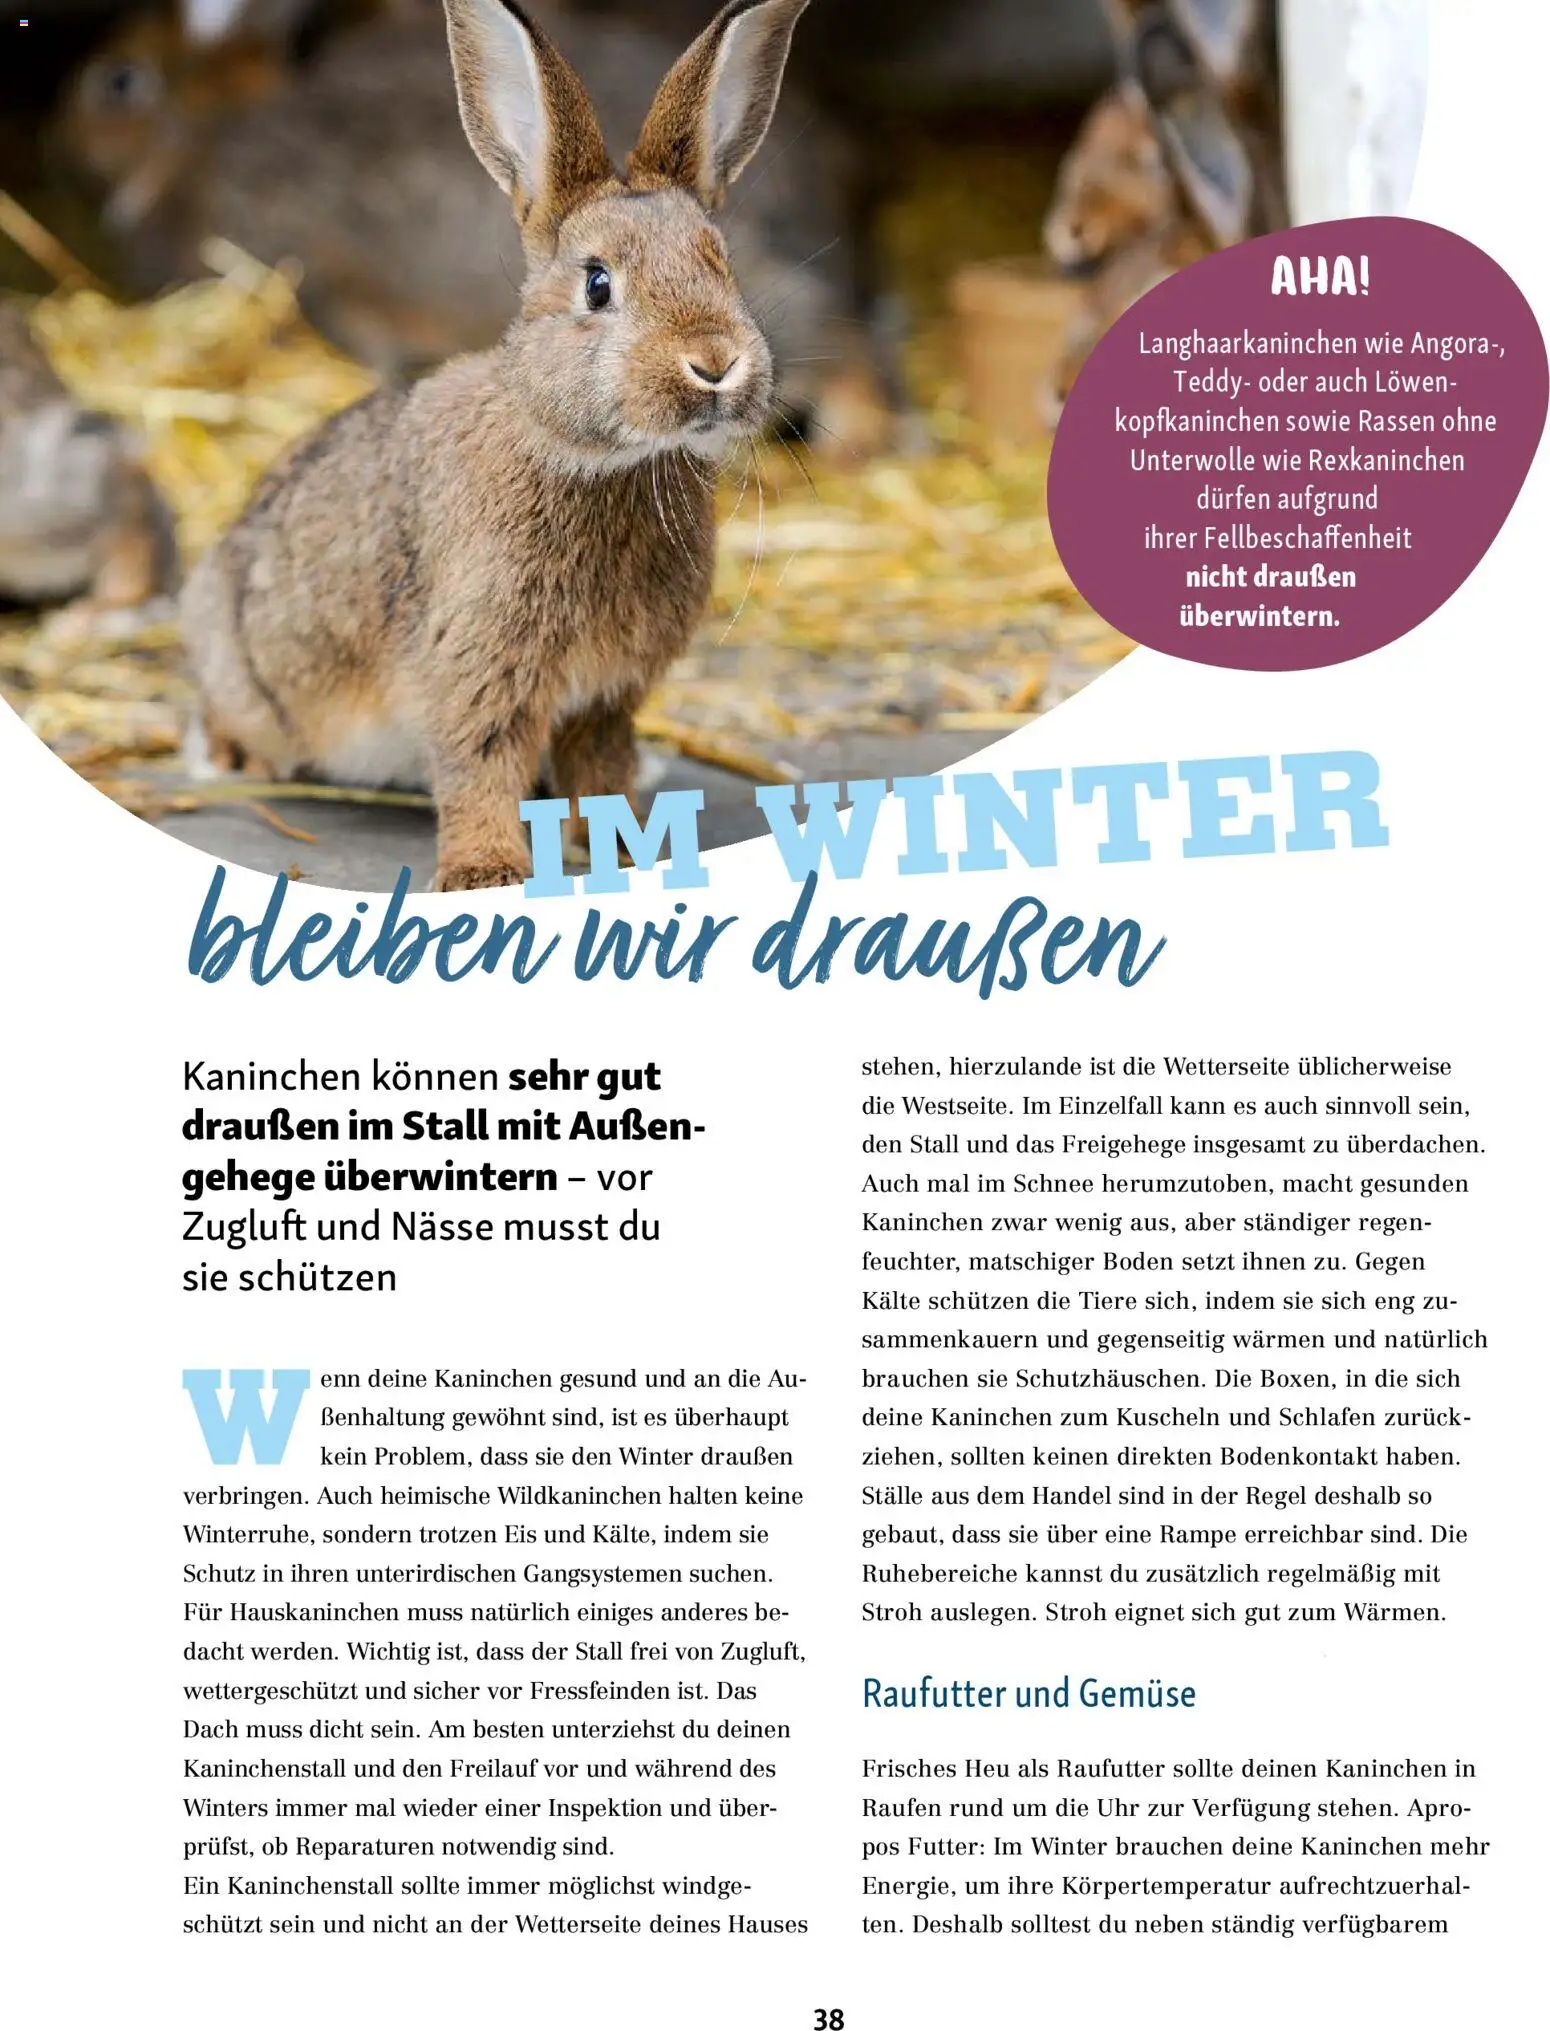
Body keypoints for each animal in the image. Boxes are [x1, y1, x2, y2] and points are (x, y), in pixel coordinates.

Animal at [183, 0, 808, 893]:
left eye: (721, 263)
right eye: (597, 283)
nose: (717, 364)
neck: (592, 456)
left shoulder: (606, 696)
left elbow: (600, 770)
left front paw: (628, 850)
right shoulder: (481, 665)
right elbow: (478, 763)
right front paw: (487, 875)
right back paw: (228, 758)